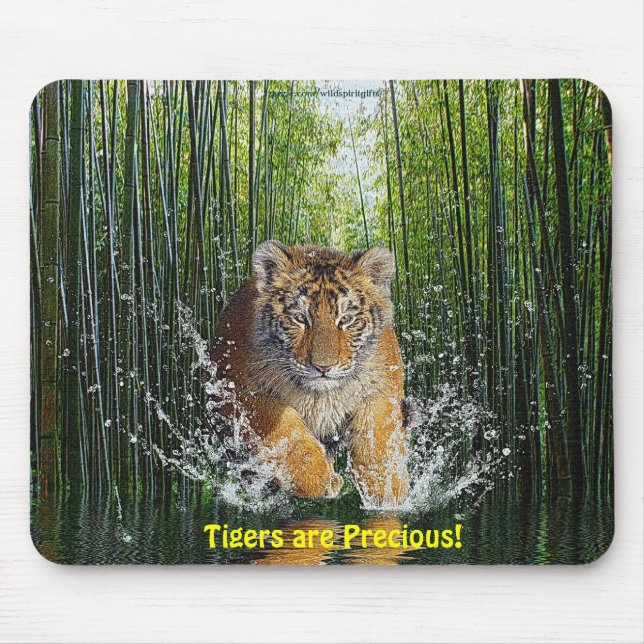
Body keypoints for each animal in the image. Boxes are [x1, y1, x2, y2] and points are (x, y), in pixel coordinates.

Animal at [208, 241, 409, 507]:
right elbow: (285, 432)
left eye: (346, 319)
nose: (324, 367)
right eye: (300, 318)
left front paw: (387, 490)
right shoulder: (238, 389)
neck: (321, 397)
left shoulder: (382, 388)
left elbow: (379, 440)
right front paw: (315, 478)